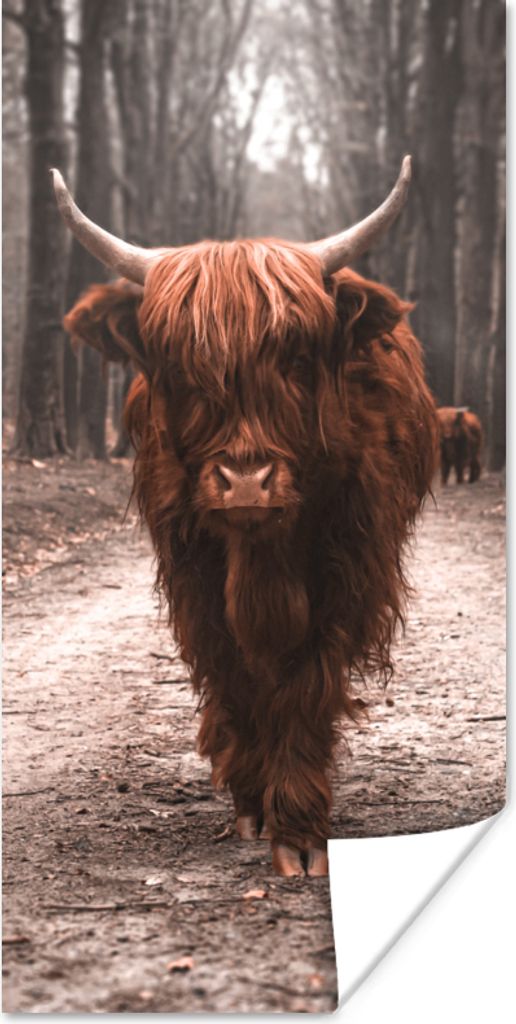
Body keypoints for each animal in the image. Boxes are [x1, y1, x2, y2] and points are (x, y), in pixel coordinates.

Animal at [54, 158, 438, 877]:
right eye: (180, 367)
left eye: (295, 358)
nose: (246, 483)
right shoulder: (193, 574)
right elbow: (233, 672)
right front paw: (254, 804)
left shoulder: (346, 569)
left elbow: (306, 681)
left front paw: (299, 830)